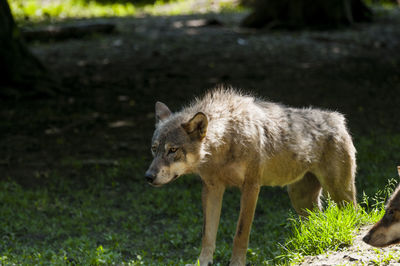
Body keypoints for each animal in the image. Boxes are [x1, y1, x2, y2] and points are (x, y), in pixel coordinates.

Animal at [145, 88, 356, 264]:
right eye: (154, 149)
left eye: (172, 150)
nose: (148, 176)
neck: (225, 142)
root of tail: (337, 117)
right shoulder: (212, 189)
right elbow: (207, 234)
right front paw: (202, 263)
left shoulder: (251, 187)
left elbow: (240, 234)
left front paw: (237, 263)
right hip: (301, 200)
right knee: (318, 221)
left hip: (340, 195)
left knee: (355, 213)